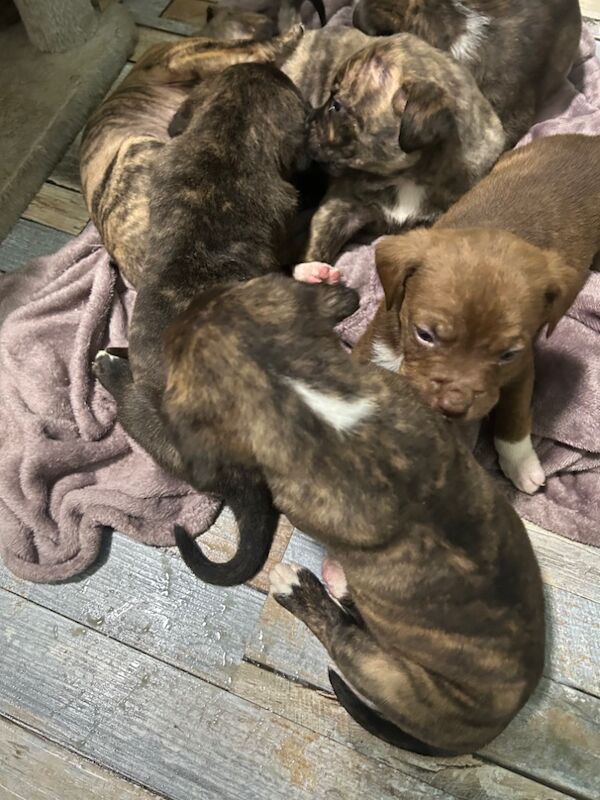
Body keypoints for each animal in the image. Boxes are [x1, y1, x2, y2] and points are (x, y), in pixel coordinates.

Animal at [356, 134, 600, 490]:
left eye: (507, 354)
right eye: (425, 335)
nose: (453, 406)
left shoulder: (522, 368)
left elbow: (514, 415)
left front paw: (521, 463)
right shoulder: (374, 345)